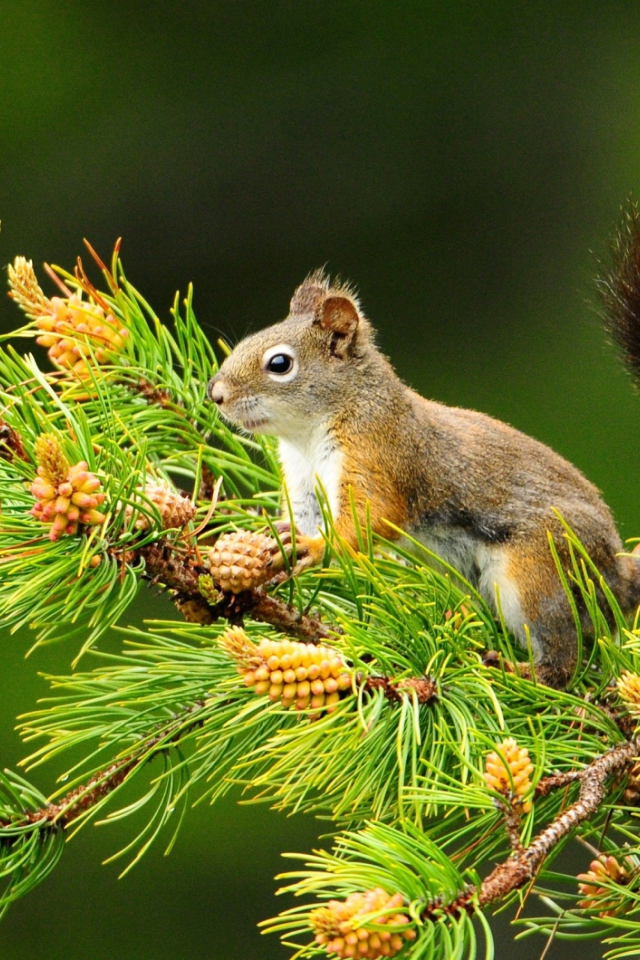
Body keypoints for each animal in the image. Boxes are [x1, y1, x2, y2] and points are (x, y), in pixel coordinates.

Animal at [209, 212, 640, 688]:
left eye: (280, 364)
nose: (216, 394)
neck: (308, 434)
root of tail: (618, 576)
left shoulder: (378, 455)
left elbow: (371, 517)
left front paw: (316, 547)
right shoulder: (304, 483)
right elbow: (303, 519)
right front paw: (281, 543)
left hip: (538, 570)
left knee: (564, 657)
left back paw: (519, 670)